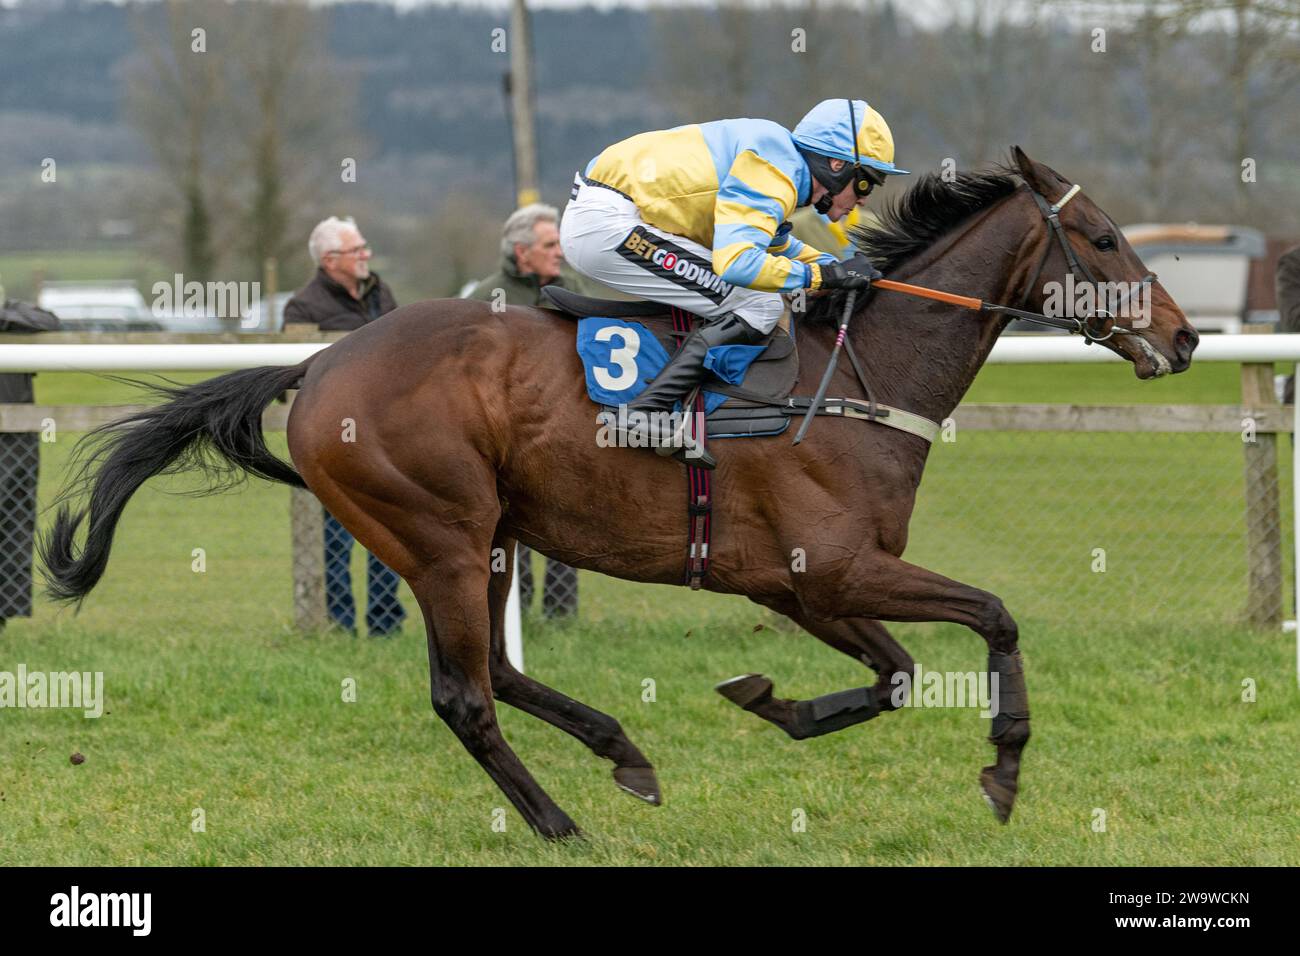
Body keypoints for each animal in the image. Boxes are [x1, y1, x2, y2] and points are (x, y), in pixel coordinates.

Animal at [40, 147, 1196, 837]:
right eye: (1101, 238)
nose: (1183, 338)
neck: (859, 370)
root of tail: (319, 364)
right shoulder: (833, 569)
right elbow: (991, 616)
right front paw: (1003, 769)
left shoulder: (797, 586)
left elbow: (899, 674)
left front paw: (770, 700)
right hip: (441, 533)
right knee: (465, 694)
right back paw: (560, 820)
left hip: (486, 537)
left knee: (497, 676)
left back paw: (624, 754)